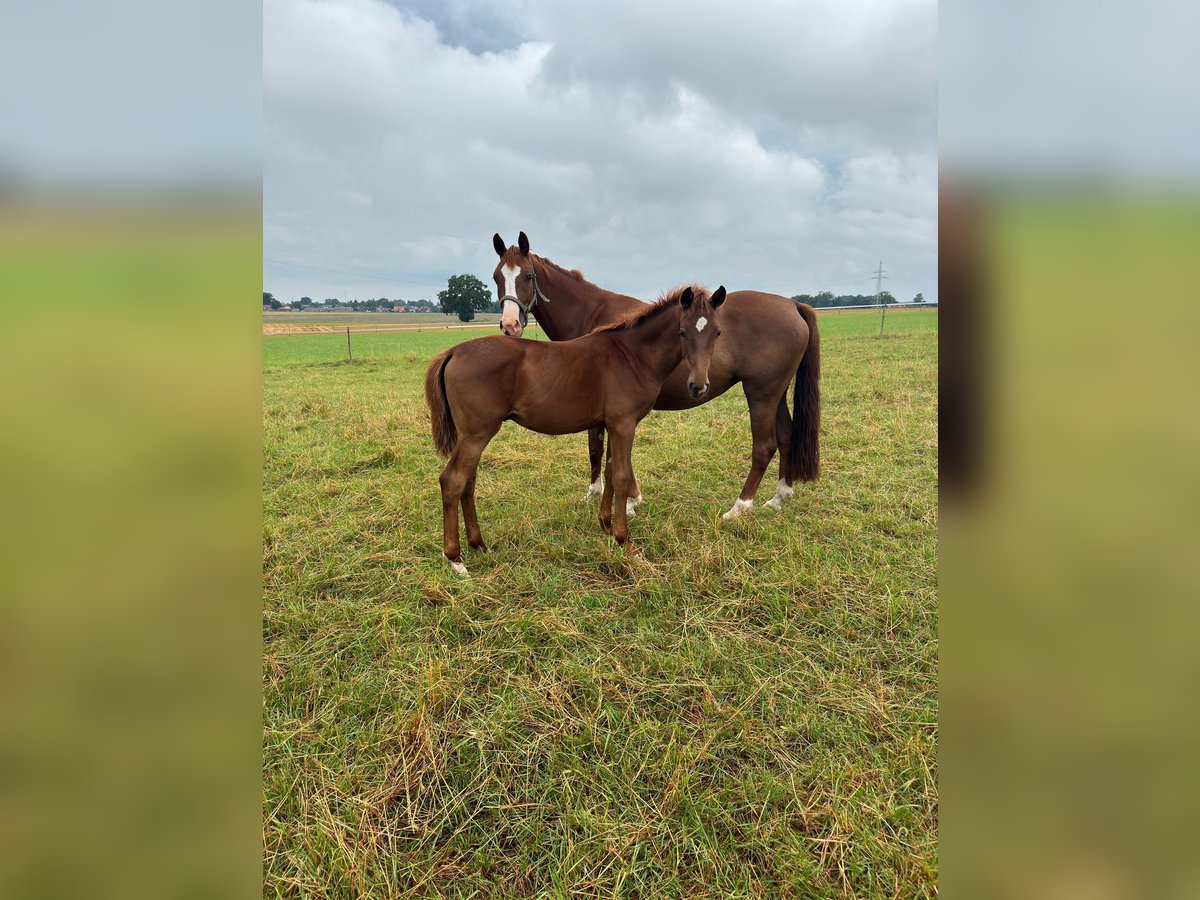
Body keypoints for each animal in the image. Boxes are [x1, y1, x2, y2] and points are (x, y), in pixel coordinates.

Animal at [425, 284, 727, 576]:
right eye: (682, 331)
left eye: (717, 332)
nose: (698, 386)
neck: (632, 355)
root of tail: (453, 352)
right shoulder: (624, 424)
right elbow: (622, 477)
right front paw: (625, 542)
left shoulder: (612, 424)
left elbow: (610, 471)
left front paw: (606, 526)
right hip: (476, 435)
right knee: (453, 481)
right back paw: (455, 559)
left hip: (472, 436)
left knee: (468, 482)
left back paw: (478, 545)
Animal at [491, 232, 820, 520]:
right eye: (496, 277)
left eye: (527, 276)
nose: (510, 325)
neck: (592, 316)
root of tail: (792, 304)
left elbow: (598, 448)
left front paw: (620, 498)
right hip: (775, 392)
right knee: (787, 436)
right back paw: (779, 498)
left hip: (761, 393)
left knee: (764, 446)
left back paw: (739, 507)